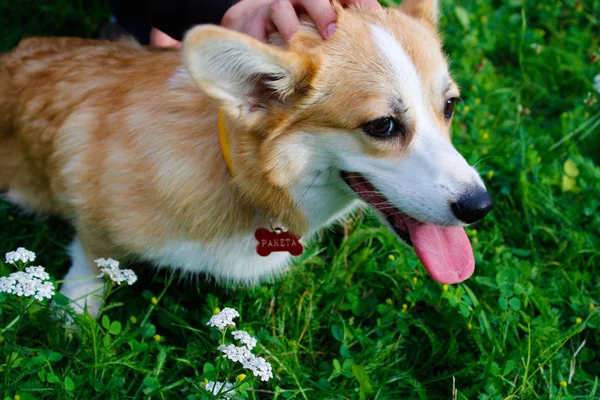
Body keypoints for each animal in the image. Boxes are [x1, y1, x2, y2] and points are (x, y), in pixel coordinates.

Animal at [0, 0, 492, 316]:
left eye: (450, 105)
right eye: (382, 126)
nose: (480, 207)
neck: (236, 175)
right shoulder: (94, 218)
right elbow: (92, 260)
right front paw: (76, 315)